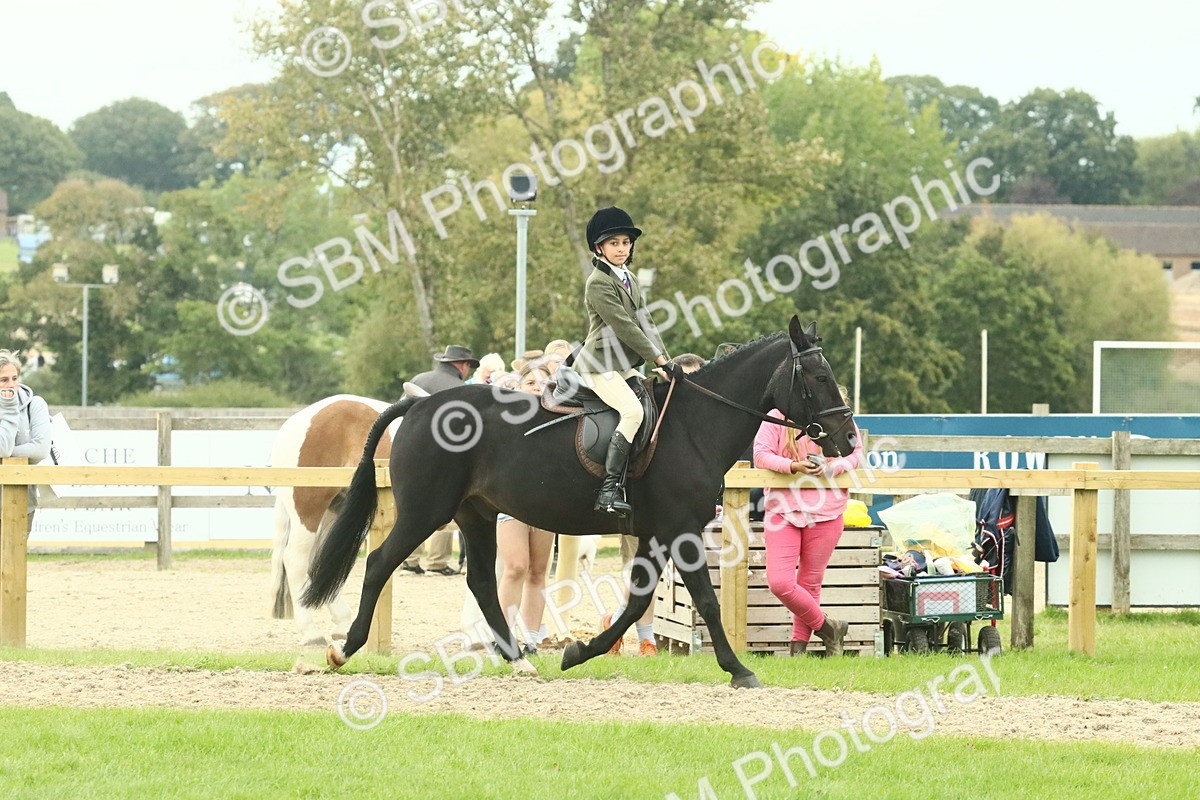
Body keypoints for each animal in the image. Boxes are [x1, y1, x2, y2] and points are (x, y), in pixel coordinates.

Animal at [269, 394, 399, 645]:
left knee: (323, 561)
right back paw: (310, 632)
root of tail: (296, 422)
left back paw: (343, 622)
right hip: (309, 509)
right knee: (296, 560)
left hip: (337, 512)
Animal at [301, 317, 856, 688]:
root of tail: (419, 405)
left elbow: (636, 603)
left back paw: (519, 660)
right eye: (820, 378)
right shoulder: (680, 530)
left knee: (481, 582)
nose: (848, 439)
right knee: (379, 563)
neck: (693, 425)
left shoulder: (653, 533)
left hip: (475, 515)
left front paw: (579, 652)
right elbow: (705, 599)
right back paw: (342, 650)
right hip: (425, 513)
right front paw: (739, 670)